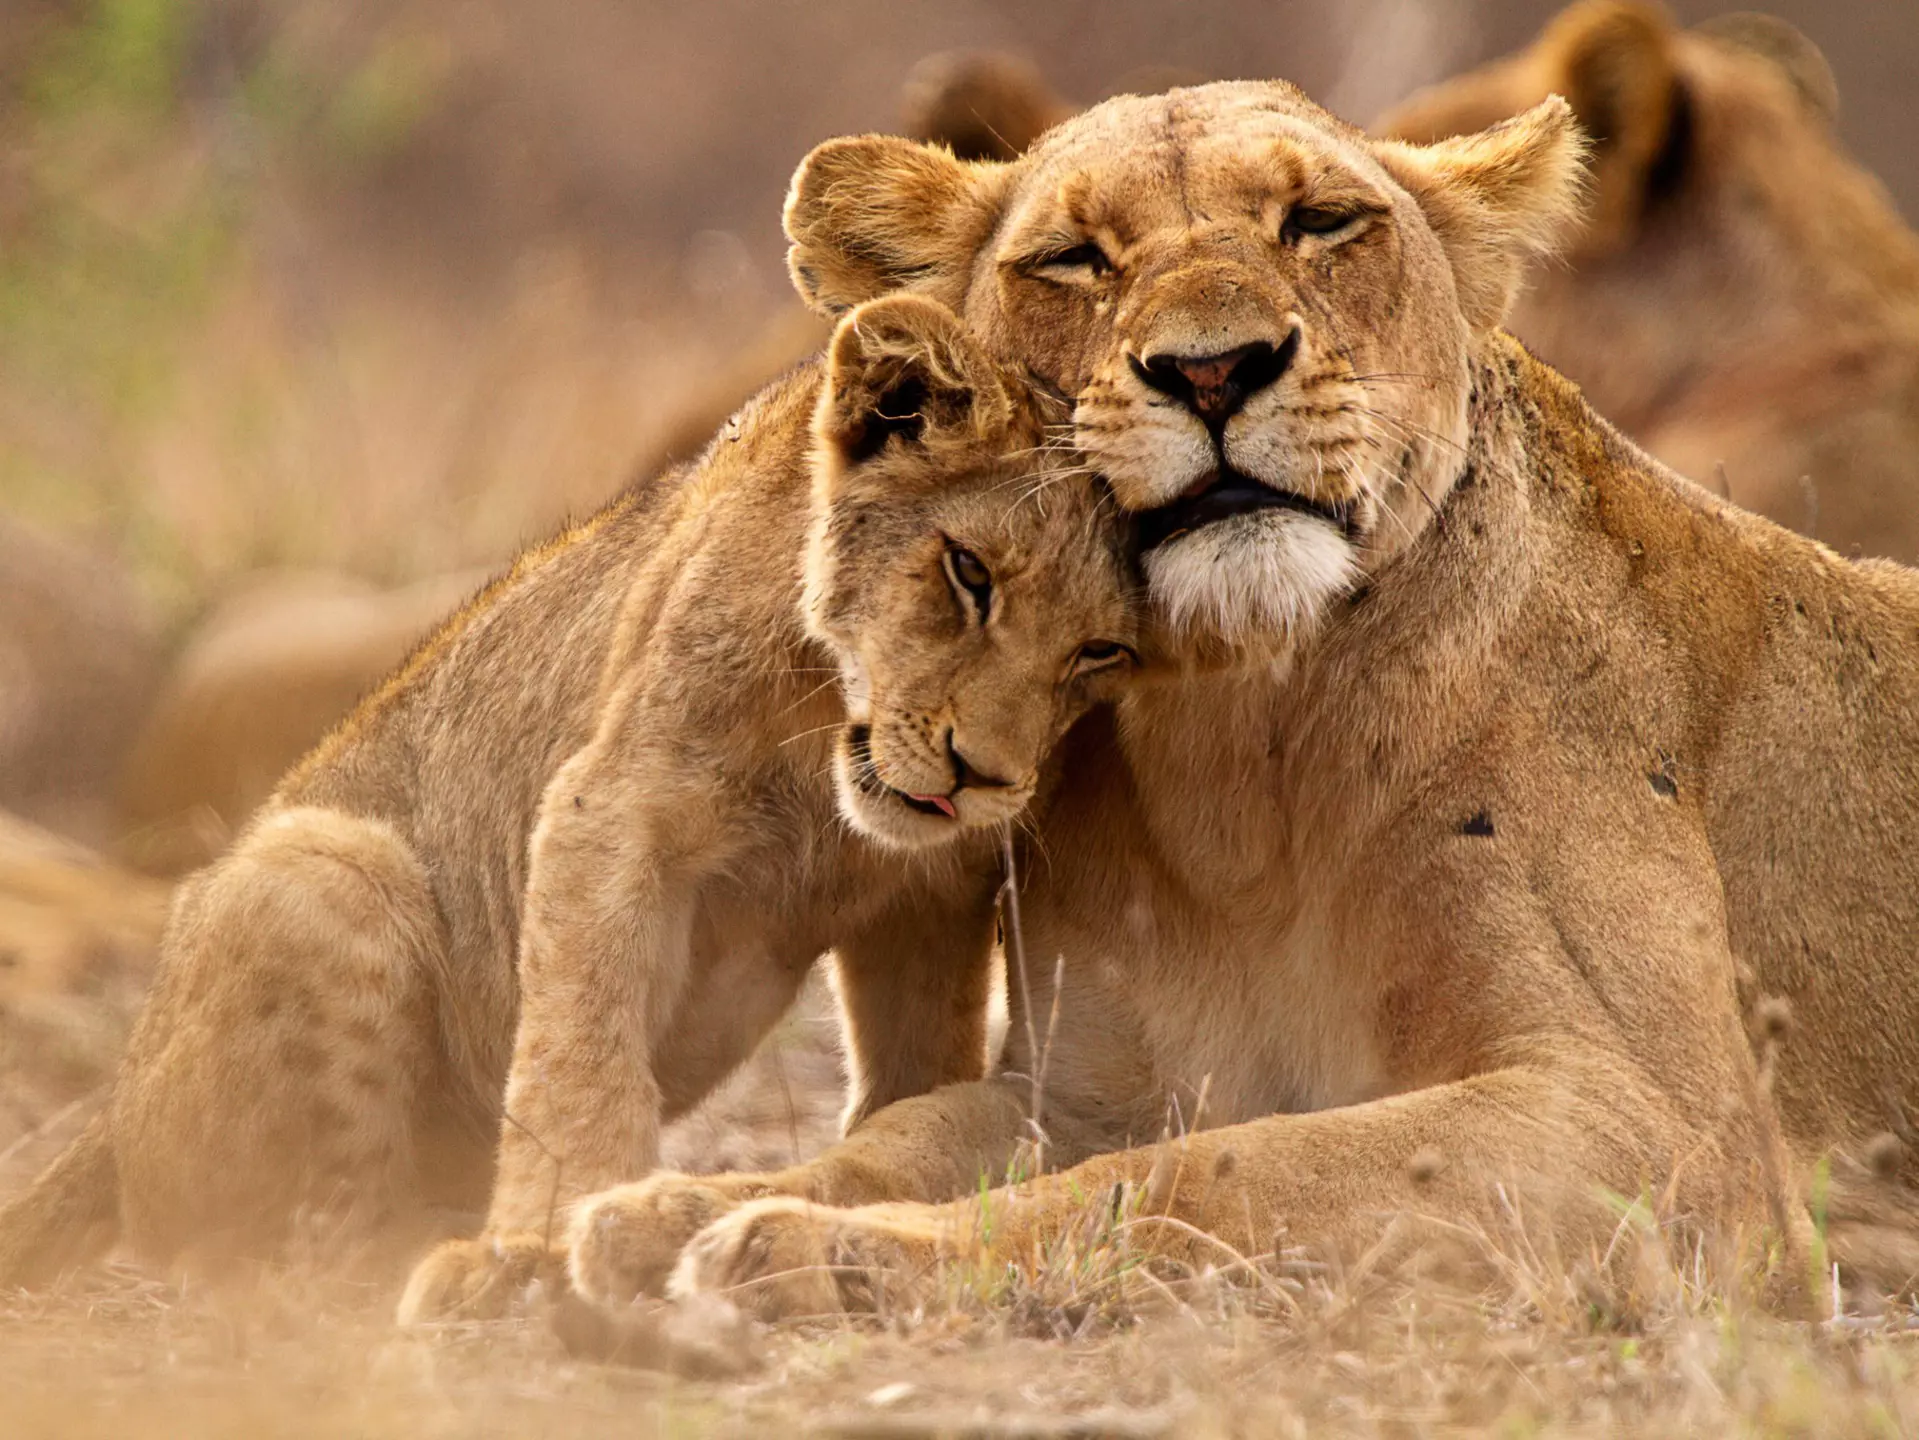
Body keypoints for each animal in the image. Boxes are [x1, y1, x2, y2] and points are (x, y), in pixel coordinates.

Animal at [0, 294, 1138, 1305]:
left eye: (1100, 652)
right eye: (967, 572)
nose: (980, 777)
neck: (825, 750)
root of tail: (112, 1104)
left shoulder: (928, 893)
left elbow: (919, 1061)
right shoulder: (610, 808)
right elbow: (579, 1054)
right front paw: (547, 1239)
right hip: (323, 866)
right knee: (281, 1256)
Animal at [551, 79, 1919, 1324]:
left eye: (1317, 223)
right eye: (1073, 257)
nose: (1211, 371)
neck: (1237, 750)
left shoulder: (1666, 1132)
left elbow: (1206, 1175)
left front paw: (811, 1253)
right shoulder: (1081, 1091)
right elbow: (908, 1134)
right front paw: (670, 1209)